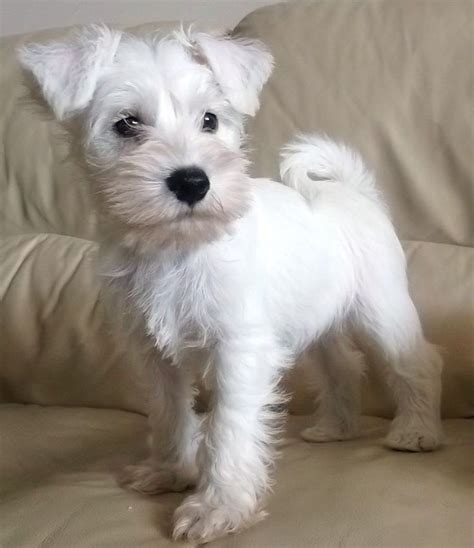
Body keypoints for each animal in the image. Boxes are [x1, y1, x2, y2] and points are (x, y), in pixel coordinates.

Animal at [19, 25, 444, 544]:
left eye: (210, 120)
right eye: (126, 124)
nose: (192, 182)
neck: (179, 247)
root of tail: (352, 190)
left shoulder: (238, 349)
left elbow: (227, 427)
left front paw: (218, 508)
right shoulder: (153, 355)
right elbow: (169, 413)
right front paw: (170, 472)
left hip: (382, 309)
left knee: (415, 363)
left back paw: (417, 432)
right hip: (317, 321)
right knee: (342, 366)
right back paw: (336, 429)